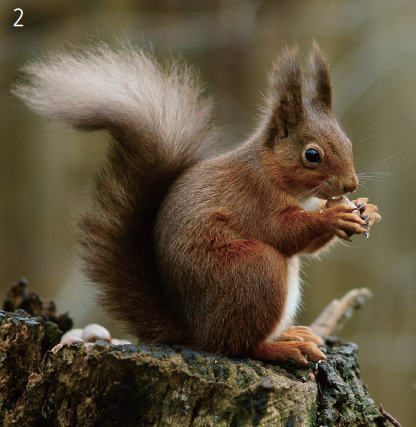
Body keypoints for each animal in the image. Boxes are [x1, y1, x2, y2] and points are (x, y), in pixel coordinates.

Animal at [13, 41, 380, 368]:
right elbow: (284, 232)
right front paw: (335, 216)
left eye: (347, 142)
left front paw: (366, 209)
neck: (270, 172)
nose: (351, 185)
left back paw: (290, 334)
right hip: (253, 270)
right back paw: (283, 348)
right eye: (312, 155)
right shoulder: (252, 198)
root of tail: (196, 333)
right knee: (237, 346)